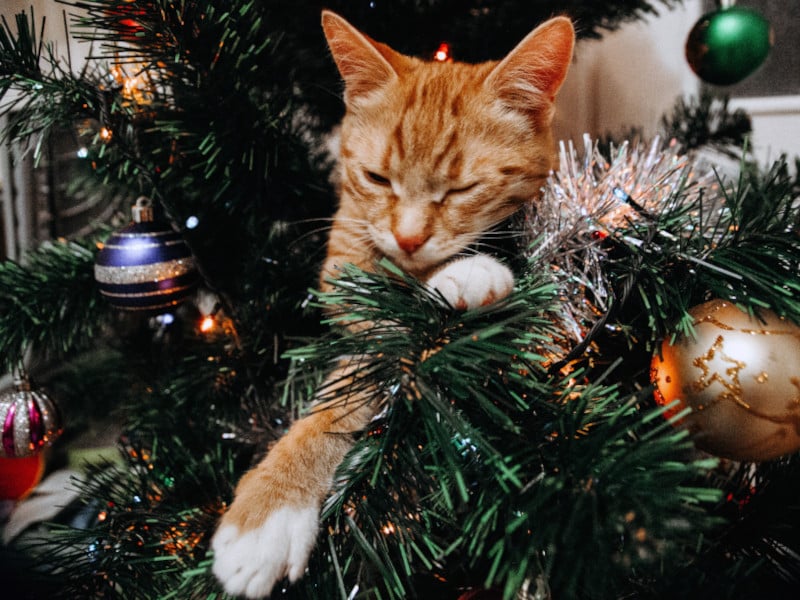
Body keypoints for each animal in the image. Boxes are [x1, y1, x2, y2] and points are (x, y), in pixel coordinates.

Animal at [212, 11, 576, 596]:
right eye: (377, 177)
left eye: (462, 189)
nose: (408, 238)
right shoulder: (344, 288)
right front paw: (269, 510)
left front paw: (469, 273)